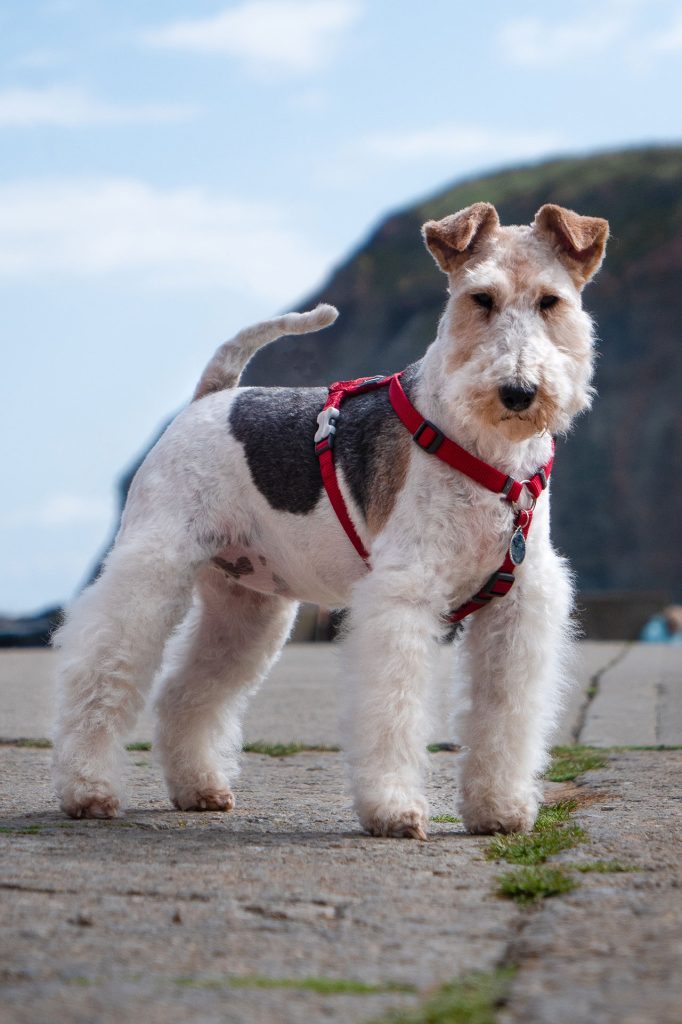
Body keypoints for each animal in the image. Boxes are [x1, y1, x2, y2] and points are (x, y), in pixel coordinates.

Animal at [51, 201, 606, 839]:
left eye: (550, 301)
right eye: (481, 299)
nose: (517, 392)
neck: (487, 451)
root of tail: (211, 398)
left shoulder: (517, 606)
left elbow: (504, 712)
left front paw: (500, 809)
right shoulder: (403, 594)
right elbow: (393, 707)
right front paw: (394, 809)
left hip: (248, 610)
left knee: (184, 694)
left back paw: (199, 788)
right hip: (153, 572)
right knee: (100, 675)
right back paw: (88, 790)